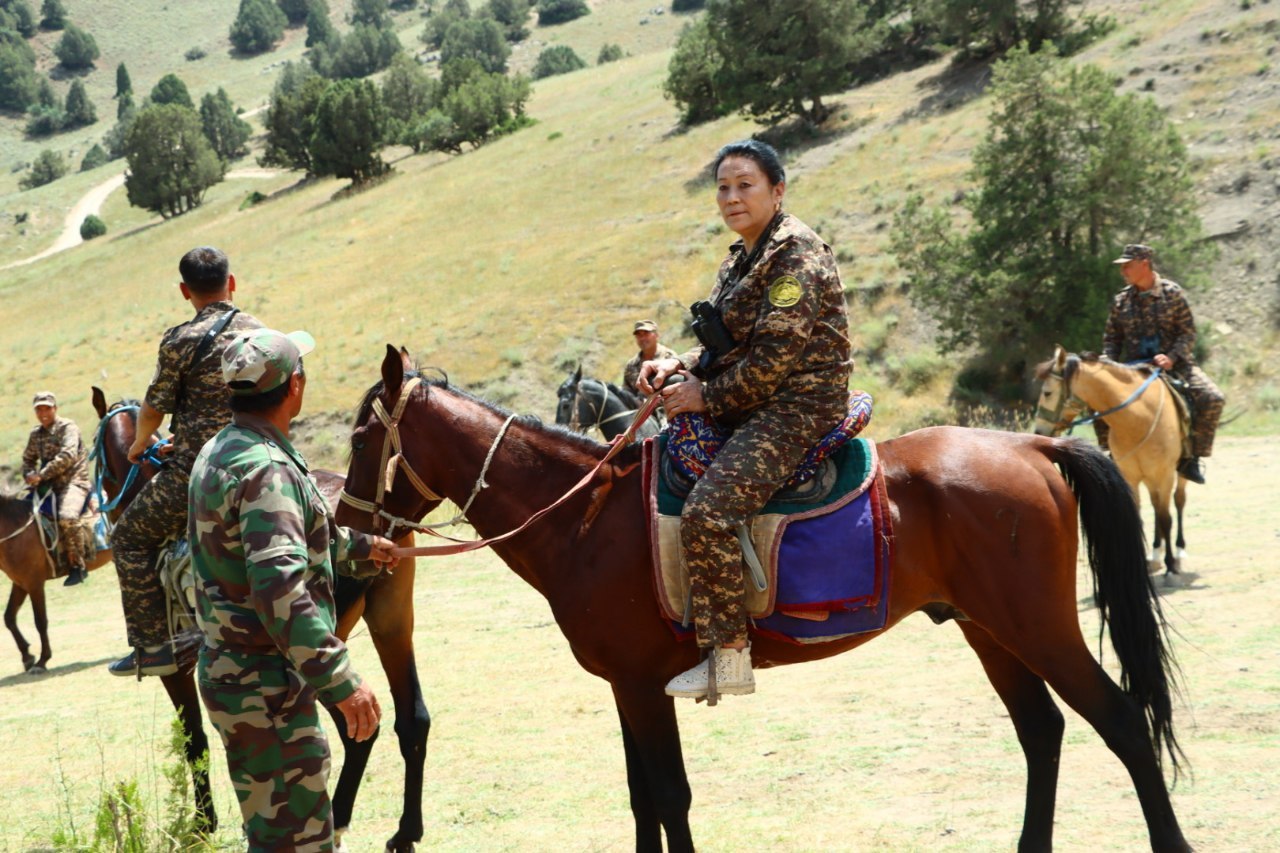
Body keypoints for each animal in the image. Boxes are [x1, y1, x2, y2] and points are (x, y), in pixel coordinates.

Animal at [1029, 348, 1187, 578]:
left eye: (1047, 393)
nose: (1039, 431)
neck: (1138, 419)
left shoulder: (1165, 474)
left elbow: (1167, 519)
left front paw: (1171, 567)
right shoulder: (1130, 476)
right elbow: (1140, 517)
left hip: (1176, 474)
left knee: (1178, 502)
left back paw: (1179, 554)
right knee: (1157, 506)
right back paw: (1156, 557)